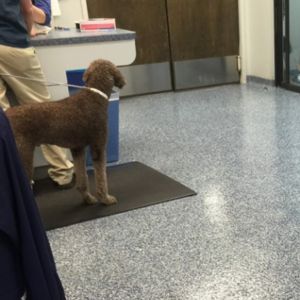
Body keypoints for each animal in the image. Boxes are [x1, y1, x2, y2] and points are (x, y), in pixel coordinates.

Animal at [5, 59, 125, 205]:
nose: (123, 82)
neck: (93, 96)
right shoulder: (98, 147)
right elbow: (101, 177)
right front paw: (106, 199)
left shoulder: (77, 149)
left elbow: (82, 178)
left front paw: (88, 198)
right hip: (23, 156)